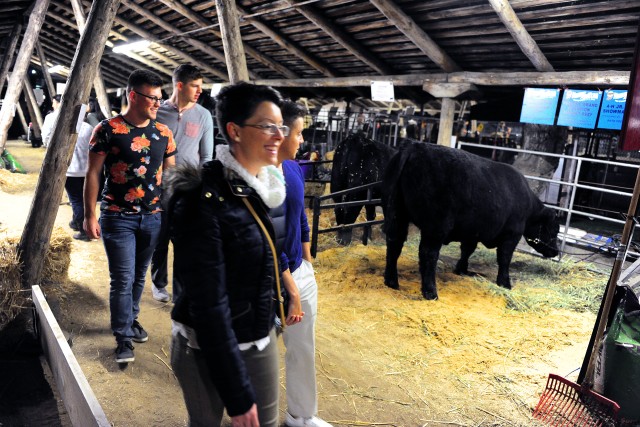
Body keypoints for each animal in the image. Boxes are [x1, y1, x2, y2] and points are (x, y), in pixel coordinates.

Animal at [382, 142, 556, 300]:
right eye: (553, 230)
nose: (556, 251)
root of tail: (415, 146)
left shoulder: (472, 232)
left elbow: (467, 250)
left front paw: (462, 270)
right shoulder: (511, 235)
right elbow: (504, 258)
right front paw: (504, 283)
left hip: (396, 214)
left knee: (394, 244)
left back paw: (391, 281)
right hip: (436, 226)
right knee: (428, 253)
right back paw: (430, 292)